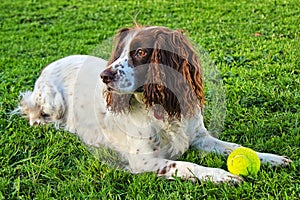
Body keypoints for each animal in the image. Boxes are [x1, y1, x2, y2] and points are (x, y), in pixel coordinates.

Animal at [17, 25, 290, 184]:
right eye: (119, 53)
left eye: (140, 52)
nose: (104, 76)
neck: (162, 107)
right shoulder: (145, 161)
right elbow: (187, 165)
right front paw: (221, 175)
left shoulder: (200, 137)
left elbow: (236, 147)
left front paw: (271, 158)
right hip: (51, 100)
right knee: (32, 113)